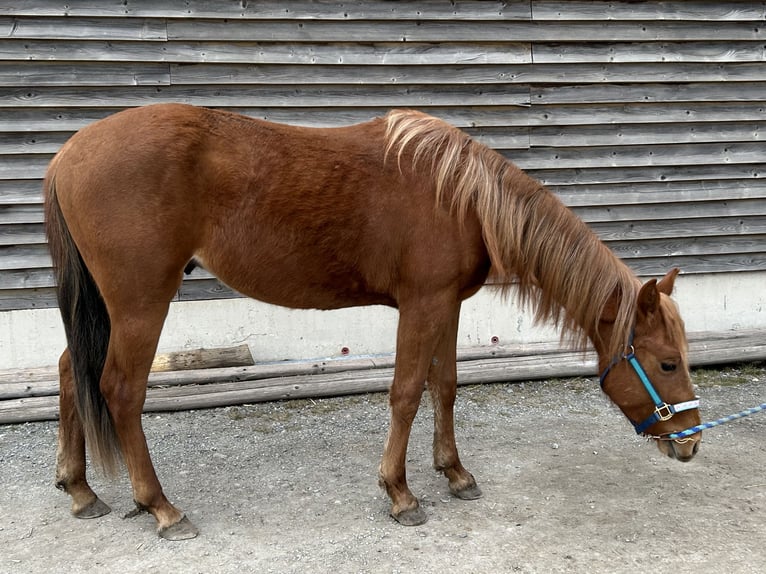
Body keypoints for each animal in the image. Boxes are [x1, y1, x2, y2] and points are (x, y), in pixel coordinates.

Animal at [42, 106, 704, 544]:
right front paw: (401, 493)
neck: (460, 194)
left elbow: (445, 386)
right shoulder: (422, 304)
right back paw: (161, 507)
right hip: (140, 302)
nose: (692, 441)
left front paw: (455, 473)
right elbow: (407, 392)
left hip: (106, 306)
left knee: (71, 371)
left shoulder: (447, 304)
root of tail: (70, 152)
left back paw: (81, 491)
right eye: (667, 362)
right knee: (120, 390)